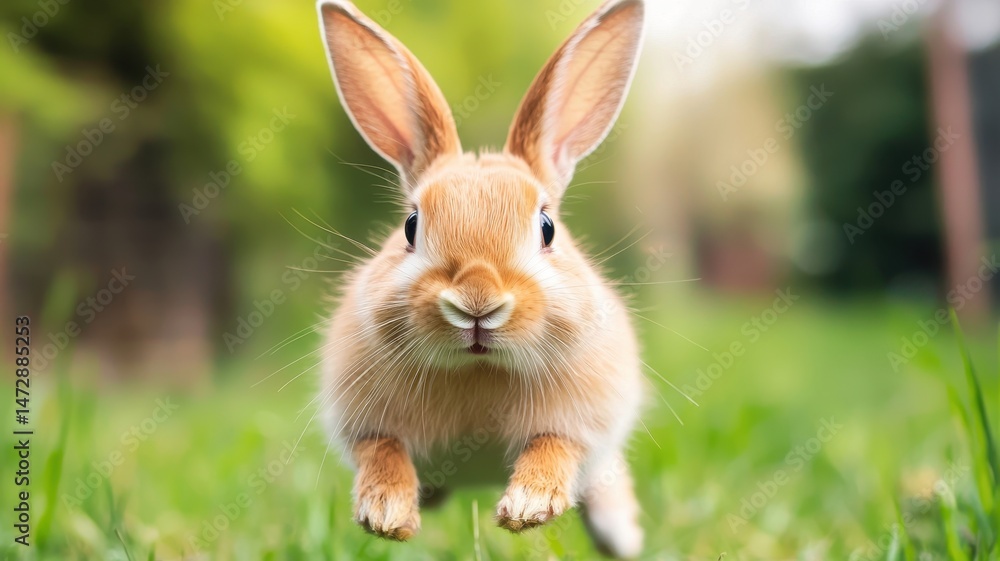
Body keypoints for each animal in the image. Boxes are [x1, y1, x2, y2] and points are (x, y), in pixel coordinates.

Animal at [315, 0, 647, 557]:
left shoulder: (582, 424)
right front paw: (386, 515)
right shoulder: (365, 425)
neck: (479, 368)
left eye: (546, 227)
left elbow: (554, 446)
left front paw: (527, 508)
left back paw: (620, 534)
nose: (477, 300)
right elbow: (382, 450)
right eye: (411, 225)